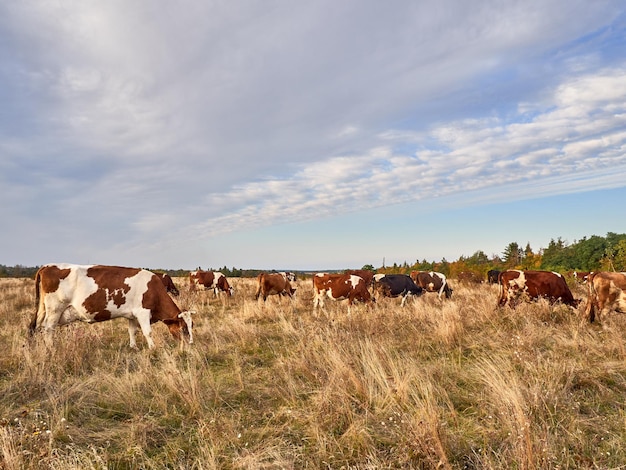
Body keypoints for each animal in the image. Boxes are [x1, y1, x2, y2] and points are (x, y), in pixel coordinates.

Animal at [28, 264, 193, 348]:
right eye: (184, 328)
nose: (191, 344)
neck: (154, 289)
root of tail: (47, 266)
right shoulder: (143, 312)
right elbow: (148, 332)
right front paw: (153, 348)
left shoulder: (132, 315)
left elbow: (132, 331)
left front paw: (133, 347)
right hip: (55, 309)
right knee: (48, 329)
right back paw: (51, 348)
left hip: (44, 309)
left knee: (36, 326)